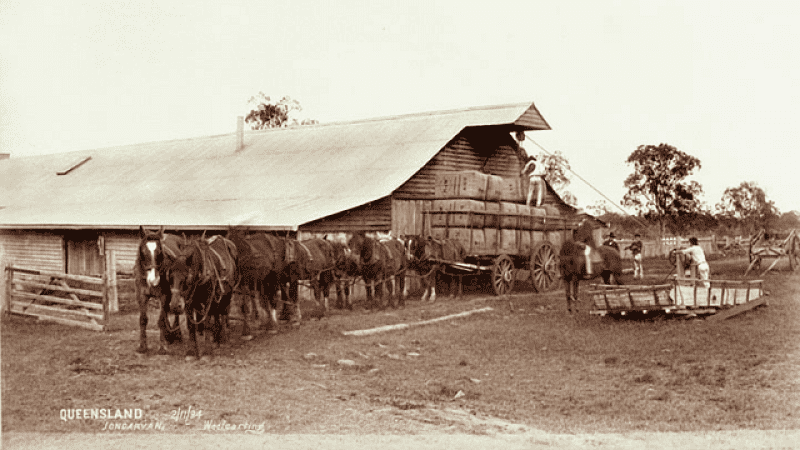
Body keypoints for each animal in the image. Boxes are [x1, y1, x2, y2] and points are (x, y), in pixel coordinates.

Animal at [135, 225, 184, 356]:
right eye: (143, 251)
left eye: (159, 251)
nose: (154, 279)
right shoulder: (142, 296)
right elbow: (143, 320)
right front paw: (142, 346)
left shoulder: (164, 296)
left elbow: (161, 320)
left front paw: (162, 348)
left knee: (175, 311)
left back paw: (176, 334)